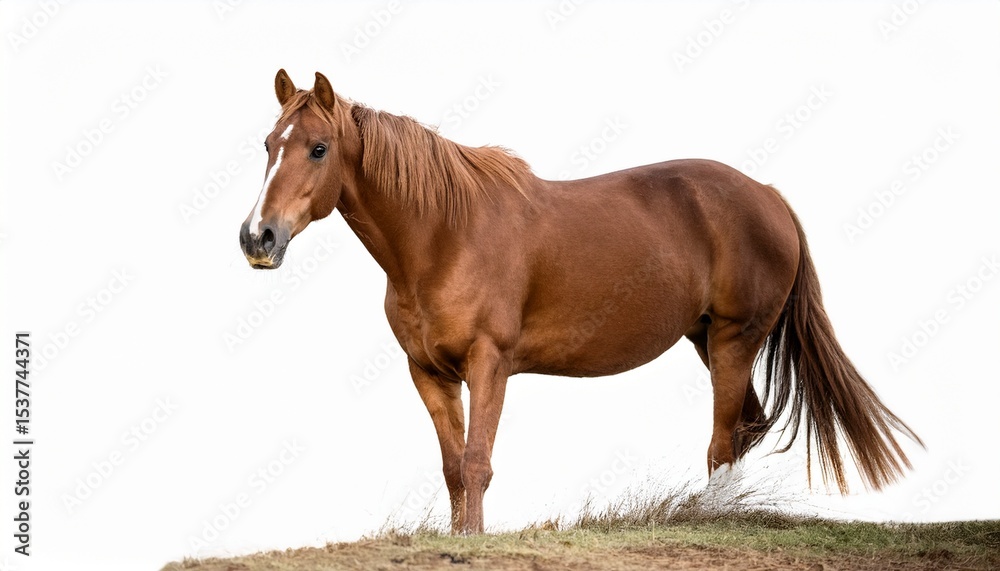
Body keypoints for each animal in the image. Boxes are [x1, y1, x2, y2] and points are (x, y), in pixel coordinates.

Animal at [239, 69, 922, 534]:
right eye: (269, 144)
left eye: (318, 148)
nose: (258, 237)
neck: (443, 236)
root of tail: (768, 193)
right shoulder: (429, 373)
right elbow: (454, 466)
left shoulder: (490, 364)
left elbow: (479, 461)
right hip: (707, 338)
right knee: (747, 424)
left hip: (735, 338)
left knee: (725, 438)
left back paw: (708, 517)